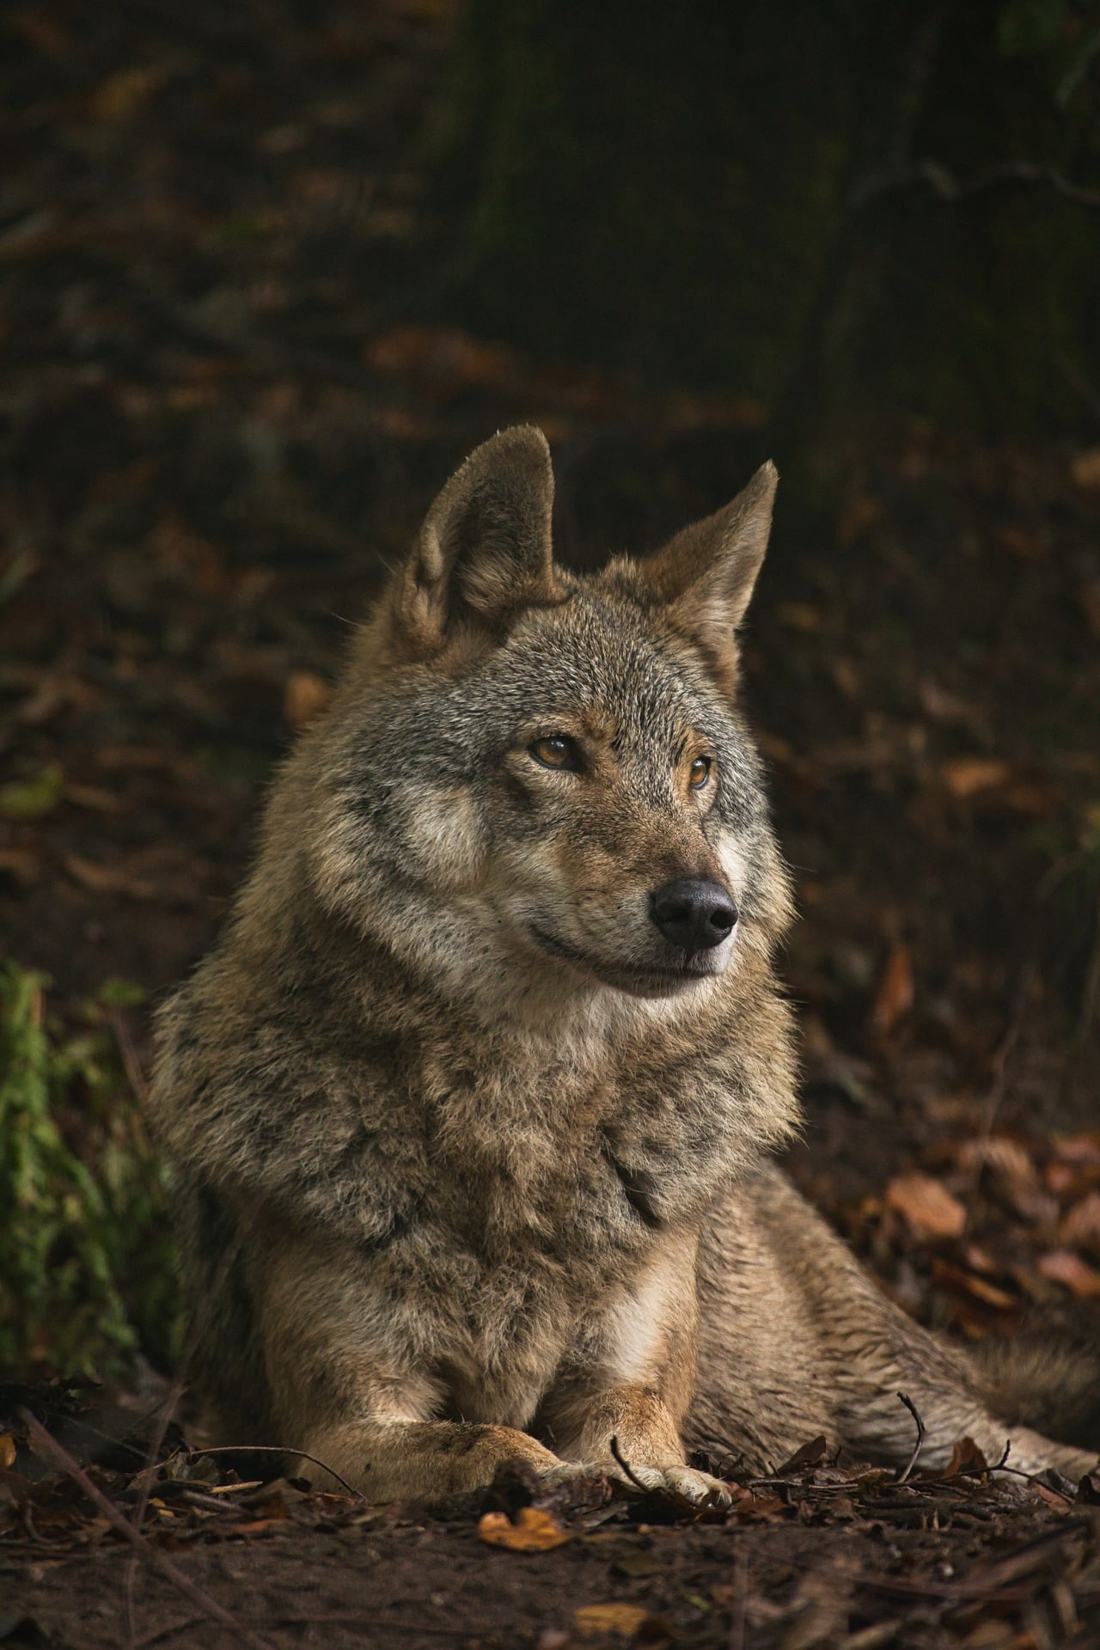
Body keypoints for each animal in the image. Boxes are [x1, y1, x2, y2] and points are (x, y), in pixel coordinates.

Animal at [150, 427, 1098, 1504]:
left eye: (697, 771)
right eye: (558, 750)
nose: (704, 913)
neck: (524, 1104)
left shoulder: (631, 1381)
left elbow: (632, 1441)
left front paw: (674, 1488)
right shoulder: (336, 1425)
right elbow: (486, 1438)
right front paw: (539, 1476)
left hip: (919, 1419)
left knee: (1028, 1445)